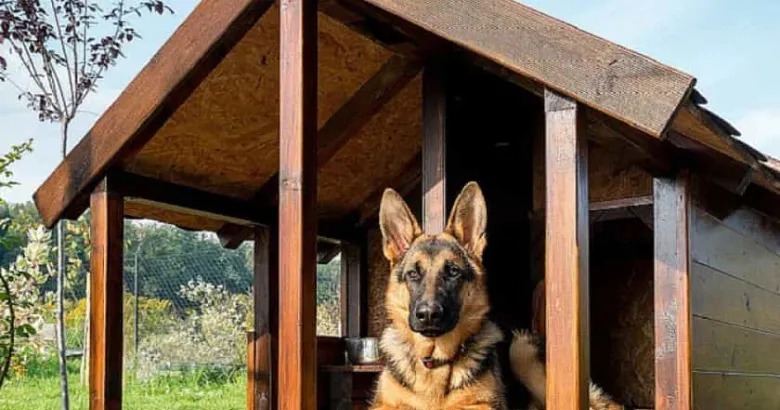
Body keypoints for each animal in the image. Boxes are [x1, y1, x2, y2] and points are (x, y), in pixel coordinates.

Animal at [371, 181, 625, 410]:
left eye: (453, 272)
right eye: (413, 274)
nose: (428, 315)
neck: (434, 362)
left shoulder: (483, 405)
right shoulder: (384, 405)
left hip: (521, 350)